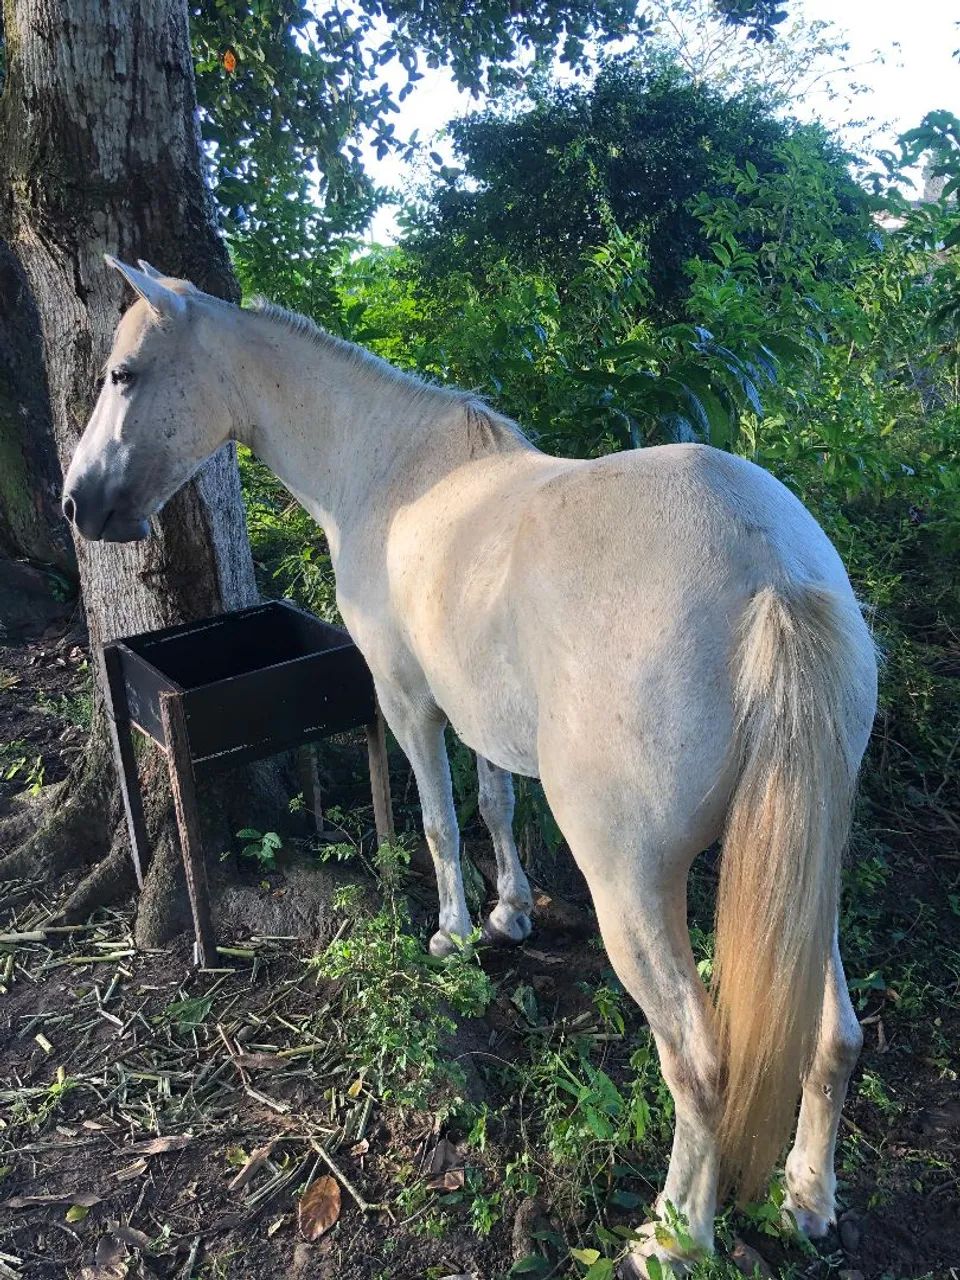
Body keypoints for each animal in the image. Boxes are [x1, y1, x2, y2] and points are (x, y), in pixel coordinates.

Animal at [62, 257, 877, 1271]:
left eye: (123, 374)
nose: (78, 504)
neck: (397, 473)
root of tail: (774, 573)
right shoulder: (482, 715)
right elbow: (493, 808)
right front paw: (510, 914)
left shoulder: (408, 700)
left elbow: (442, 823)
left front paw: (452, 934)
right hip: (802, 868)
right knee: (833, 1035)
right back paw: (808, 1196)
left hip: (635, 885)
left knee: (701, 1065)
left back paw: (673, 1237)